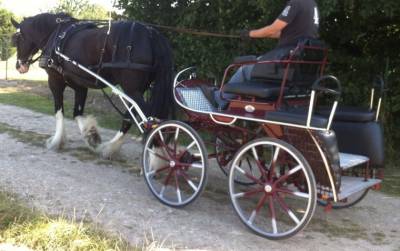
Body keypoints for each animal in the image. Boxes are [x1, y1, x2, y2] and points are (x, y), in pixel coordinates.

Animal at [10, 13, 173, 157]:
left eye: (17, 39)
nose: (19, 66)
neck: (56, 34)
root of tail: (150, 33)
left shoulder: (55, 81)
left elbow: (59, 112)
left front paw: (57, 141)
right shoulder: (80, 85)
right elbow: (77, 114)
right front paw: (92, 135)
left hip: (131, 90)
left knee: (151, 121)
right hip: (138, 90)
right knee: (131, 119)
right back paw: (111, 148)